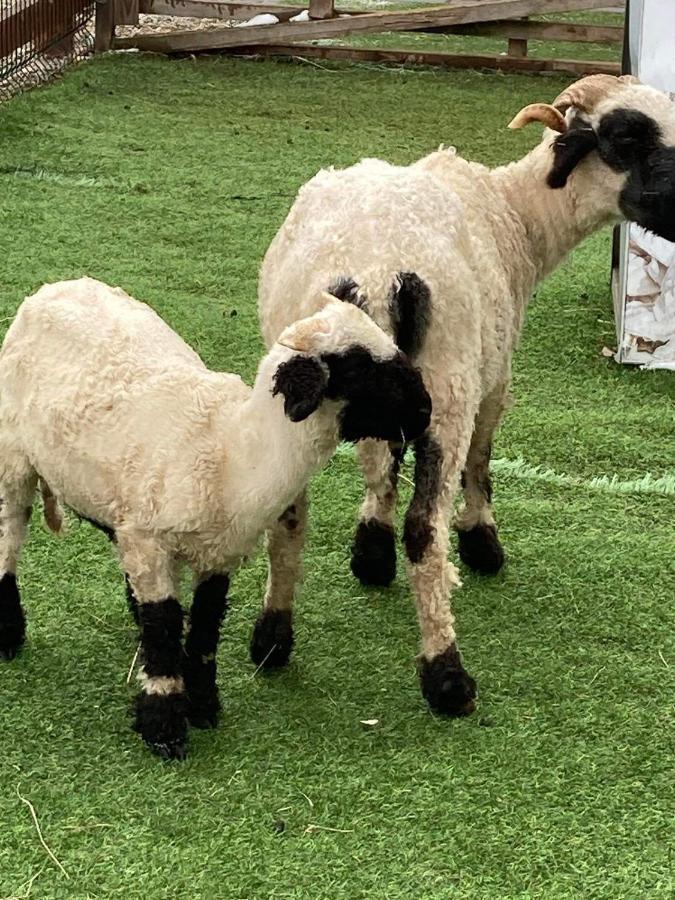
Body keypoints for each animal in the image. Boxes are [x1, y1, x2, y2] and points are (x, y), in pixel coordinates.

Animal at [0, 278, 434, 756]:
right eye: (355, 367)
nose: (425, 411)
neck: (232, 453)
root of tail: (54, 288)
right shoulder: (150, 542)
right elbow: (165, 626)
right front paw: (164, 726)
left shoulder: (217, 554)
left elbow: (205, 627)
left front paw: (204, 706)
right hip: (13, 456)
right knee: (8, 535)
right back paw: (8, 634)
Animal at [254, 72, 675, 716]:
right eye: (627, 138)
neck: (517, 215)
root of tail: (374, 273)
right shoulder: (493, 375)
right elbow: (483, 457)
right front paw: (481, 543)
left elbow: (379, 462)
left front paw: (369, 551)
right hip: (449, 385)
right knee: (426, 531)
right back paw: (446, 675)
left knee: (287, 513)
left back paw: (272, 640)